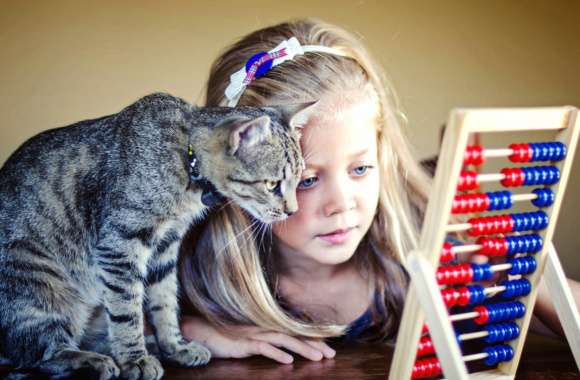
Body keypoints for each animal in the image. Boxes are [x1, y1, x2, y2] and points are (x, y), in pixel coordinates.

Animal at [0, 93, 312, 380]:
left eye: (299, 181)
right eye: (272, 185)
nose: (292, 211)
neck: (186, 161)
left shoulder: (165, 247)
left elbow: (164, 302)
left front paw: (174, 346)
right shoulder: (120, 245)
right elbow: (127, 311)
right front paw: (134, 359)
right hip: (37, 279)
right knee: (40, 355)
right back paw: (93, 361)